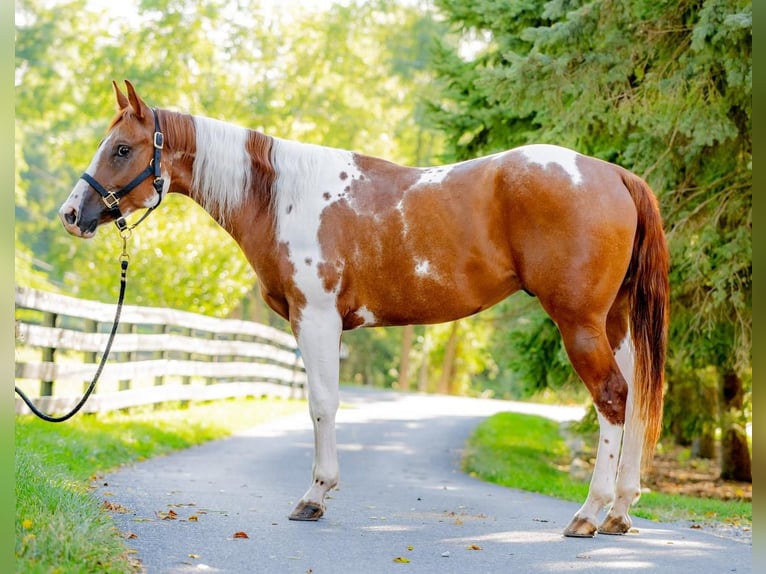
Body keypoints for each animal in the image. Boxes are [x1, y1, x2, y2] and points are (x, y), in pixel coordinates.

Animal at [60, 81, 668, 540]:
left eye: (121, 149)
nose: (71, 214)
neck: (282, 197)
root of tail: (614, 174)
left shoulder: (315, 318)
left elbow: (322, 405)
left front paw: (314, 497)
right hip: (613, 324)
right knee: (636, 399)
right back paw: (619, 512)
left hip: (578, 323)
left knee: (612, 399)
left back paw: (588, 513)